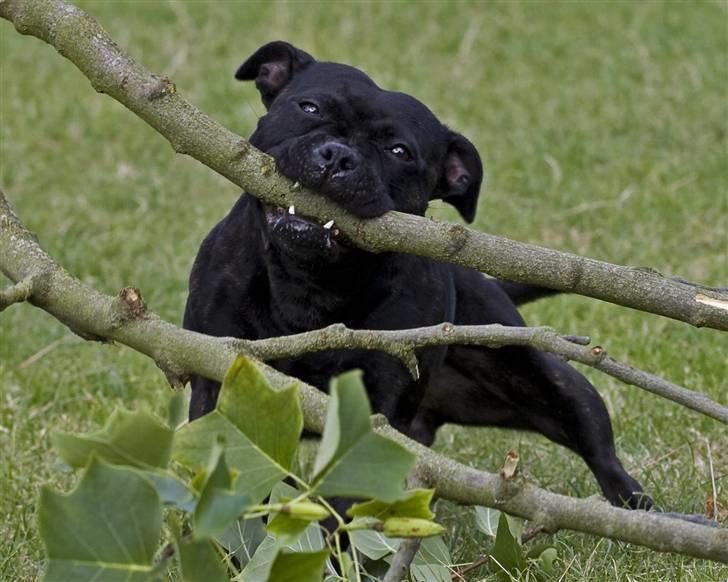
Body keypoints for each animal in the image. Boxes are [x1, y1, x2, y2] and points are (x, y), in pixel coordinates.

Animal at [185, 41, 652, 512]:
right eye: (309, 107)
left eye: (399, 152)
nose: (339, 155)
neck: (312, 283)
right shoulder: (217, 376)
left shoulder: (378, 409)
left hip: (544, 380)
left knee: (599, 448)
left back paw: (637, 507)